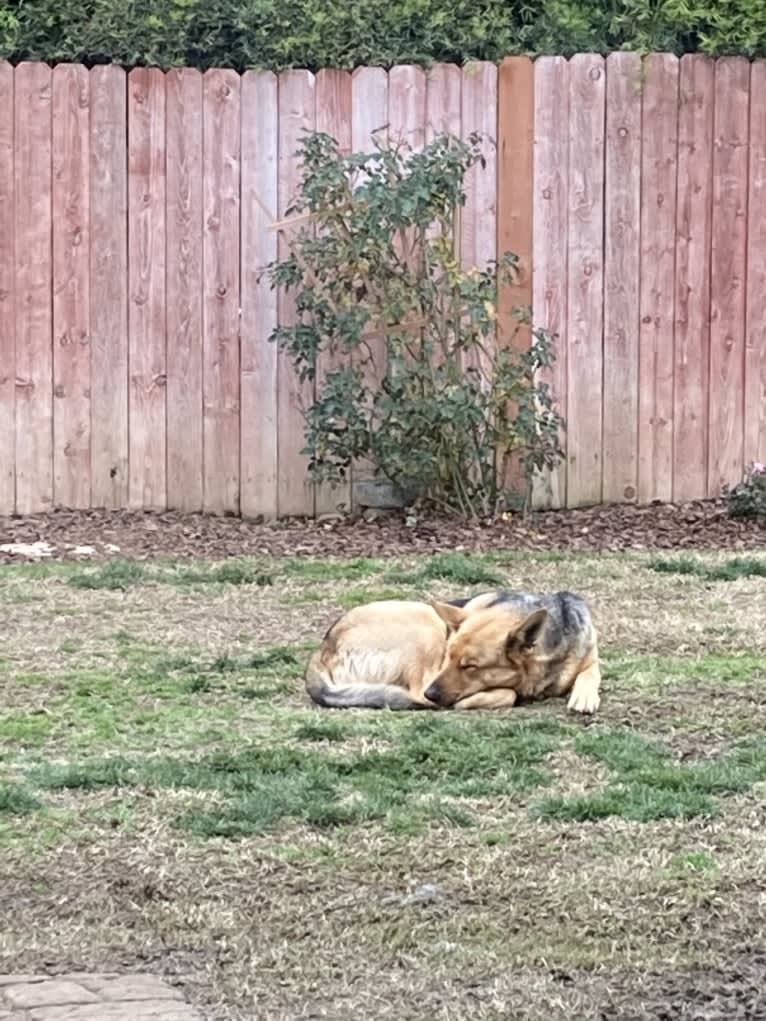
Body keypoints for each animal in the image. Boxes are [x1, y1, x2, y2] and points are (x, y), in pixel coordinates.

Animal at [308, 596, 604, 714]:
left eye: (470, 666)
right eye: (449, 657)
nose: (433, 694)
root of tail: (322, 648)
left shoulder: (590, 657)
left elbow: (591, 673)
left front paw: (584, 696)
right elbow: (509, 693)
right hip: (427, 623)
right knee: (417, 692)